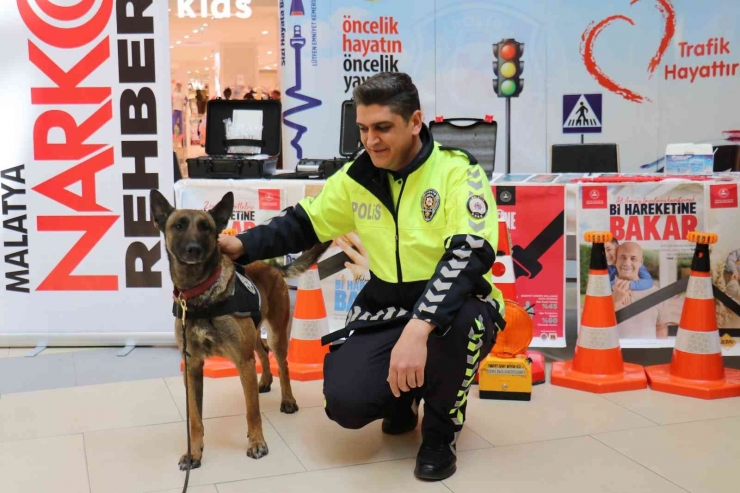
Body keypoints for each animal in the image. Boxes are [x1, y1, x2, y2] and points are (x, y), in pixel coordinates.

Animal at [150, 188, 330, 468]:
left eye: (206, 227)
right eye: (178, 225)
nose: (193, 249)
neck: (201, 296)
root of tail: (272, 266)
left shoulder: (243, 362)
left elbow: (252, 411)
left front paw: (256, 443)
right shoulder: (192, 367)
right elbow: (195, 418)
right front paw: (194, 452)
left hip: (277, 334)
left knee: (282, 363)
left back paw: (287, 399)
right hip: (254, 333)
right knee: (263, 350)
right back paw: (265, 380)